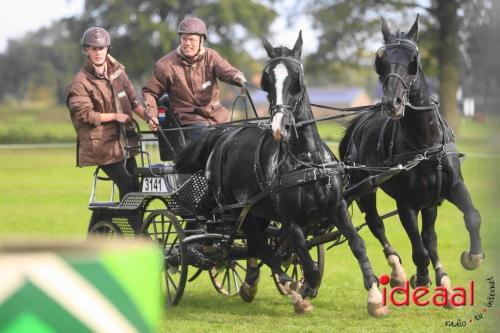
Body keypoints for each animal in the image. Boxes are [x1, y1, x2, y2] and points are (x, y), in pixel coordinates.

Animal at [175, 32, 386, 316]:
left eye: (298, 79)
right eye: (266, 81)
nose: (279, 126)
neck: (306, 163)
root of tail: (223, 134)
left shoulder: (336, 207)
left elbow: (357, 244)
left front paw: (374, 297)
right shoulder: (290, 220)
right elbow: (308, 262)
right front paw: (304, 292)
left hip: (256, 212)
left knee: (256, 246)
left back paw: (252, 284)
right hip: (238, 211)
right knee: (263, 248)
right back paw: (288, 289)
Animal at [338, 16, 482, 298]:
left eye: (413, 59)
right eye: (381, 61)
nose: (391, 103)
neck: (425, 144)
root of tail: (360, 122)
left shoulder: (452, 186)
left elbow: (472, 217)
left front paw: (473, 257)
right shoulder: (406, 203)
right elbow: (418, 248)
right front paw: (421, 277)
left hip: (429, 200)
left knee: (429, 236)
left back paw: (442, 277)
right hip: (366, 189)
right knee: (376, 224)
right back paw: (398, 270)